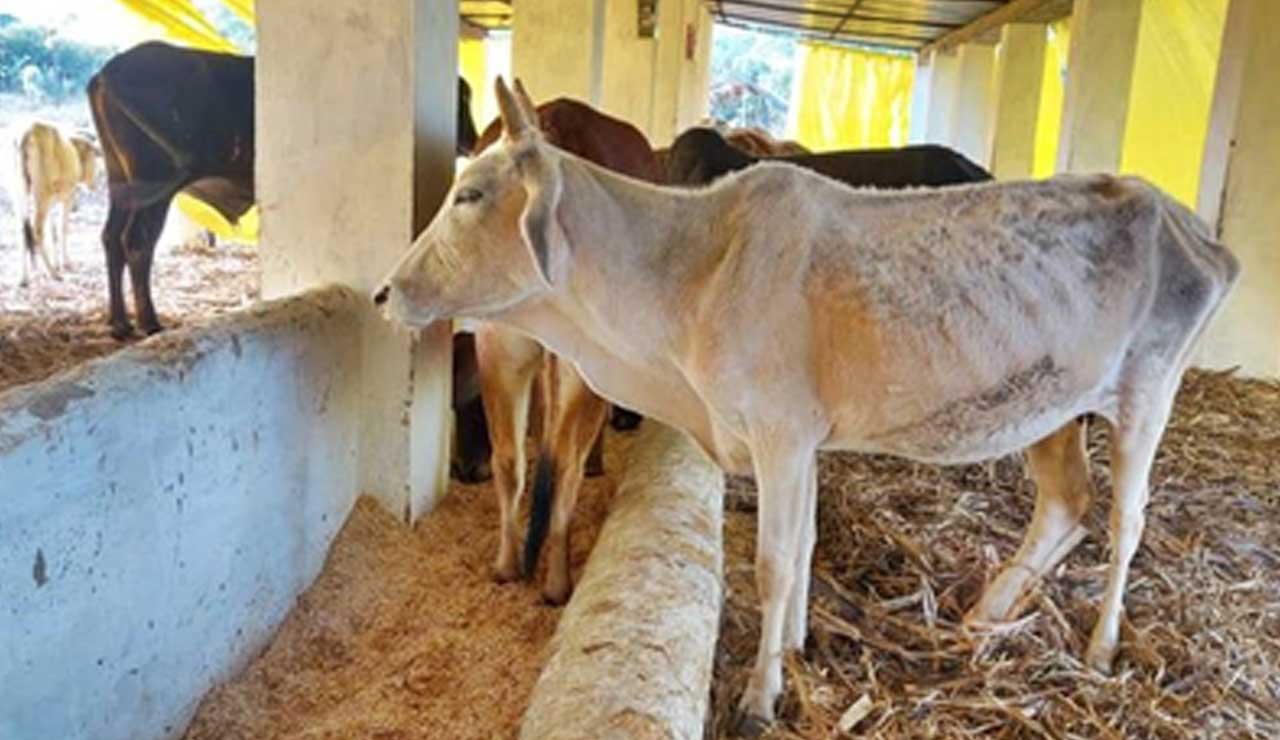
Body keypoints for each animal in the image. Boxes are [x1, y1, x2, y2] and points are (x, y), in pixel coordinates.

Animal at [11, 121, 100, 284]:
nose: (94, 185)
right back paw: (52, 272)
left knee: (23, 231)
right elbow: (62, 228)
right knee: (37, 231)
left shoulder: (53, 203)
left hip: (18, 195)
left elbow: (53, 232)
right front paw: (65, 263)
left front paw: (58, 262)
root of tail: (28, 131)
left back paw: (24, 277)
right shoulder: (68, 197)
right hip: (42, 196)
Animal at [87, 41, 479, 340]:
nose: (472, 140)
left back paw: (119, 323)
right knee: (137, 242)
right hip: (155, 185)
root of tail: (108, 72)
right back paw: (149, 322)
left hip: (120, 182)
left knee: (111, 238)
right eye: (460, 99)